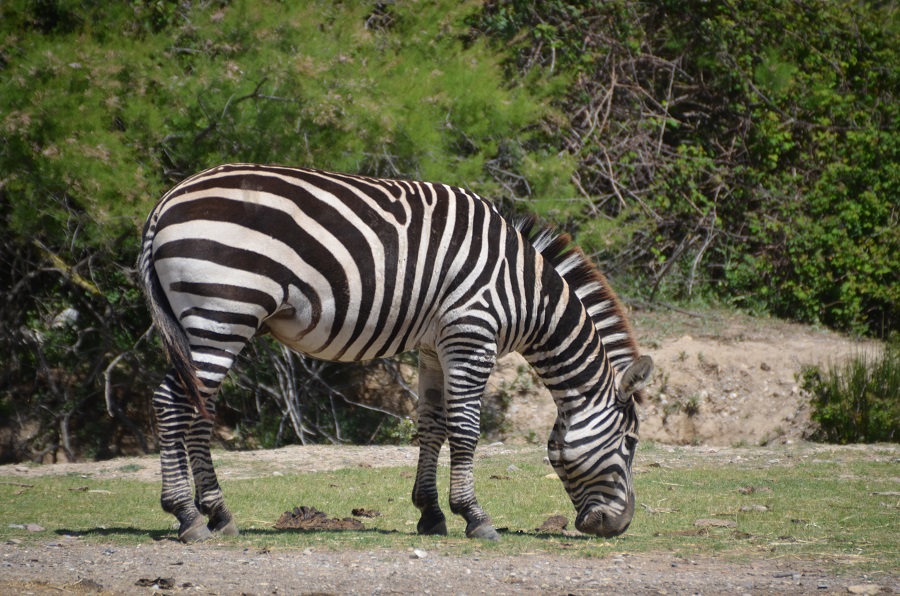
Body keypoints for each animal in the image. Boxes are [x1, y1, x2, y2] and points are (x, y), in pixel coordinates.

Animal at [137, 164, 652, 544]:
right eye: (630, 443)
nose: (620, 526)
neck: (527, 293)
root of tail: (165, 200)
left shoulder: (433, 347)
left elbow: (432, 425)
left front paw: (431, 514)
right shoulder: (471, 333)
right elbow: (466, 429)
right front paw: (475, 517)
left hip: (206, 321)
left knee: (197, 408)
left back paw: (219, 513)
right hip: (222, 310)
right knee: (171, 403)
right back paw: (187, 517)